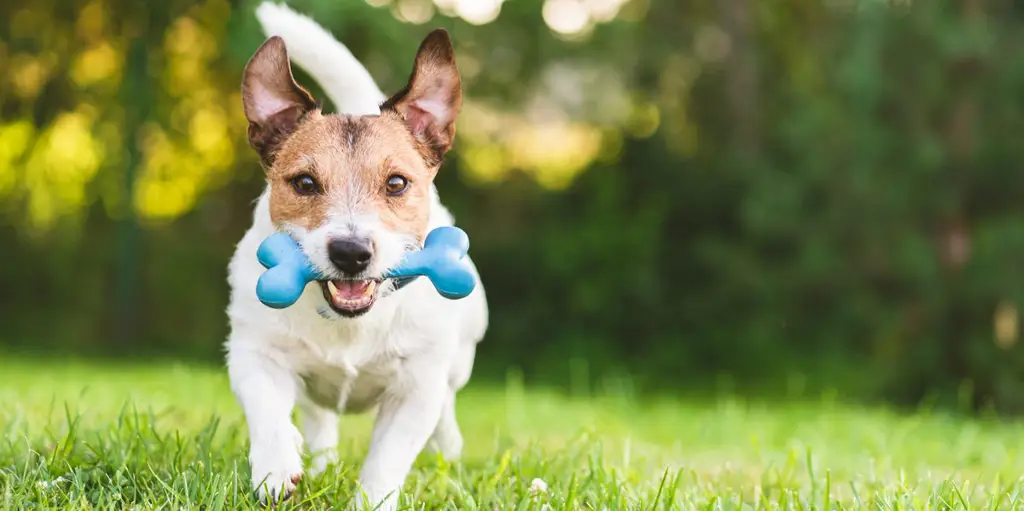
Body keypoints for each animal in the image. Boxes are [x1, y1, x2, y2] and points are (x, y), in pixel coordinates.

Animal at [226, 4, 489, 507]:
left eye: (397, 183)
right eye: (305, 183)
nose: (351, 253)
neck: (349, 324)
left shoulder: (415, 389)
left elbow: (388, 458)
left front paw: (373, 498)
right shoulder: (255, 351)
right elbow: (267, 410)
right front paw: (276, 467)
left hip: (459, 360)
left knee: (447, 408)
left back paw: (448, 452)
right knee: (318, 418)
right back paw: (316, 460)